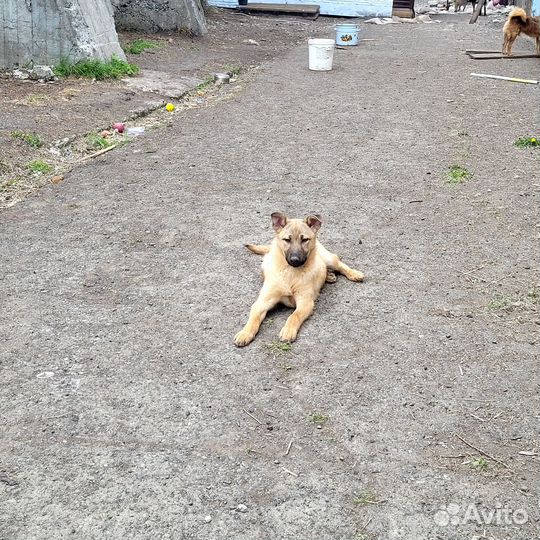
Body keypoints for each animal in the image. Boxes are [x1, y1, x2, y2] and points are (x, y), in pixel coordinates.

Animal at [234, 211, 364, 346]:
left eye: (305, 240)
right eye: (287, 240)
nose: (295, 260)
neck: (291, 273)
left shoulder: (305, 302)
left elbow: (294, 316)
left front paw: (288, 331)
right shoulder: (263, 302)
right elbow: (253, 318)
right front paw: (245, 333)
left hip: (328, 258)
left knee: (339, 263)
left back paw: (354, 273)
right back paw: (329, 276)